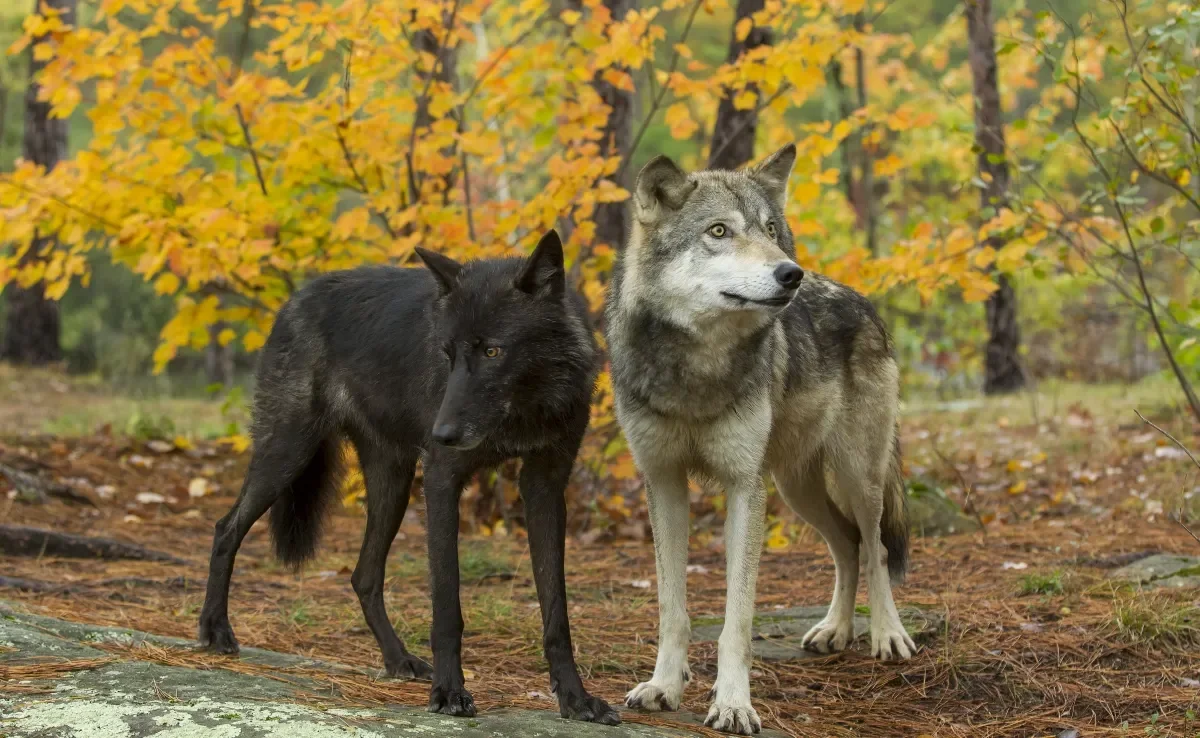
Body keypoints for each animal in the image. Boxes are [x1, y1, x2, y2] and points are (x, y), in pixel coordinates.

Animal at [196, 232, 619, 729]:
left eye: (492, 351)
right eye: (447, 354)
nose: (441, 433)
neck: (526, 408)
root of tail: (297, 296)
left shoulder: (546, 488)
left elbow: (556, 613)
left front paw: (575, 698)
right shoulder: (441, 480)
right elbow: (447, 607)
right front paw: (449, 692)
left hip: (390, 487)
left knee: (363, 575)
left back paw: (397, 659)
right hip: (287, 454)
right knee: (226, 528)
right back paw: (215, 630)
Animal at [604, 144, 912, 734]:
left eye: (771, 229)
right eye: (719, 231)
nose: (790, 273)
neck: (696, 368)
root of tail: (863, 301)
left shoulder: (744, 486)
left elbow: (737, 620)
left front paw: (732, 704)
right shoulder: (663, 481)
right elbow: (672, 609)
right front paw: (663, 687)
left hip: (857, 476)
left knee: (877, 546)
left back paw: (887, 635)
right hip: (796, 490)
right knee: (848, 545)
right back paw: (835, 631)